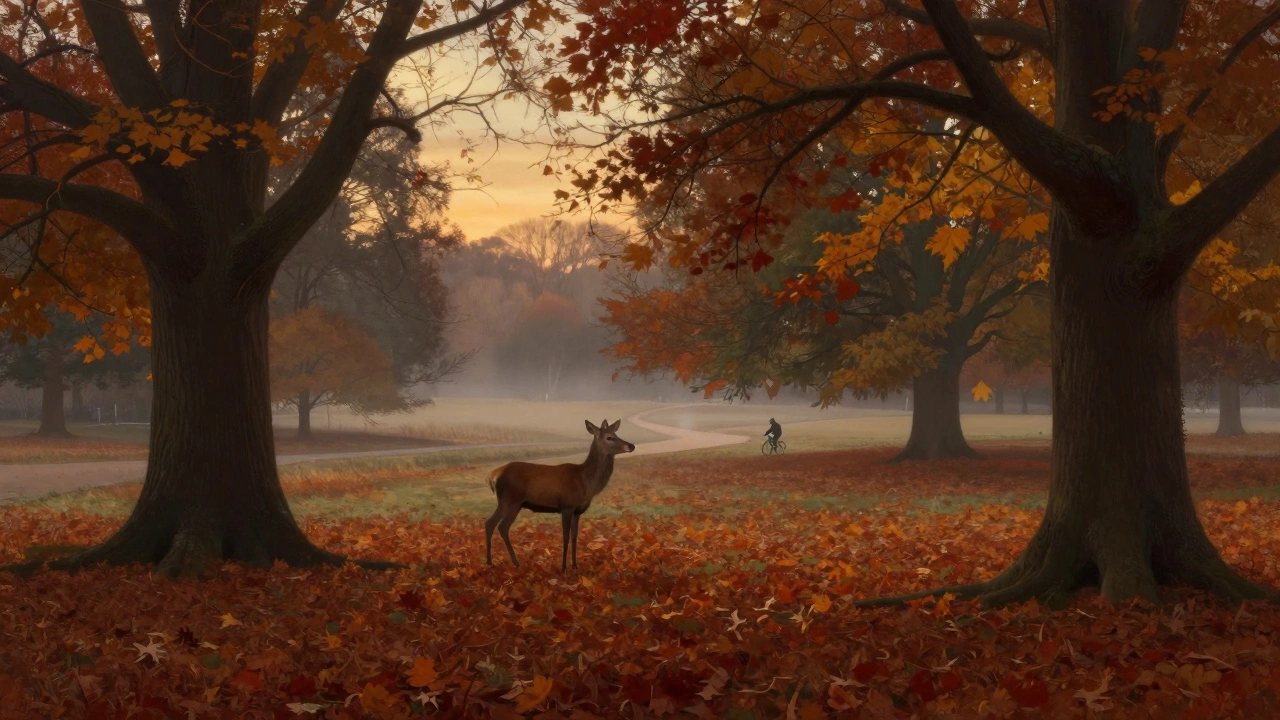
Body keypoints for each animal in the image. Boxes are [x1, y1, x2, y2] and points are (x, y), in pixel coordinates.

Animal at [484, 418, 635, 571]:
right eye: (609, 437)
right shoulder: (566, 506)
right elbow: (565, 536)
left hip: (508, 501)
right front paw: (563, 568)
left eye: (616, 433)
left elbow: (574, 537)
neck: (585, 481)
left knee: (490, 523)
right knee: (502, 526)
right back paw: (514, 562)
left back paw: (491, 562)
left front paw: (575, 566)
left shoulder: (577, 511)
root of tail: (492, 475)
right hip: (511, 500)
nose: (631, 445)